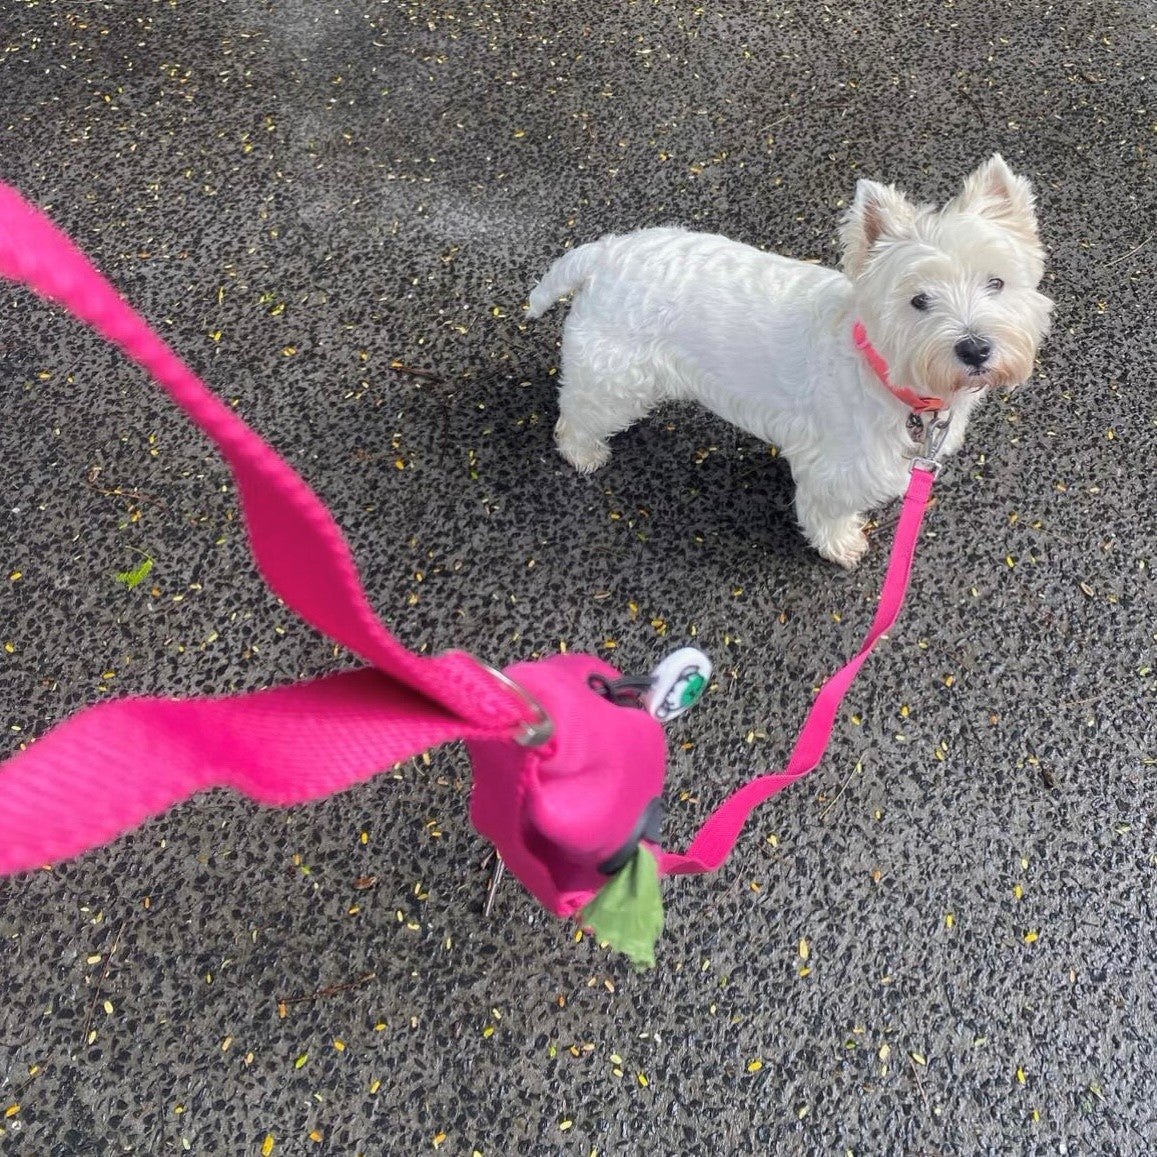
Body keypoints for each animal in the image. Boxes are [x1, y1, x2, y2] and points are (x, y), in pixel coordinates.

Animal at [529, 153, 1055, 569]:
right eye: (919, 300)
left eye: (996, 282)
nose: (976, 348)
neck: (883, 372)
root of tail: (605, 253)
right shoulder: (833, 467)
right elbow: (826, 510)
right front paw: (841, 545)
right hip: (617, 376)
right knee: (576, 413)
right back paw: (584, 453)